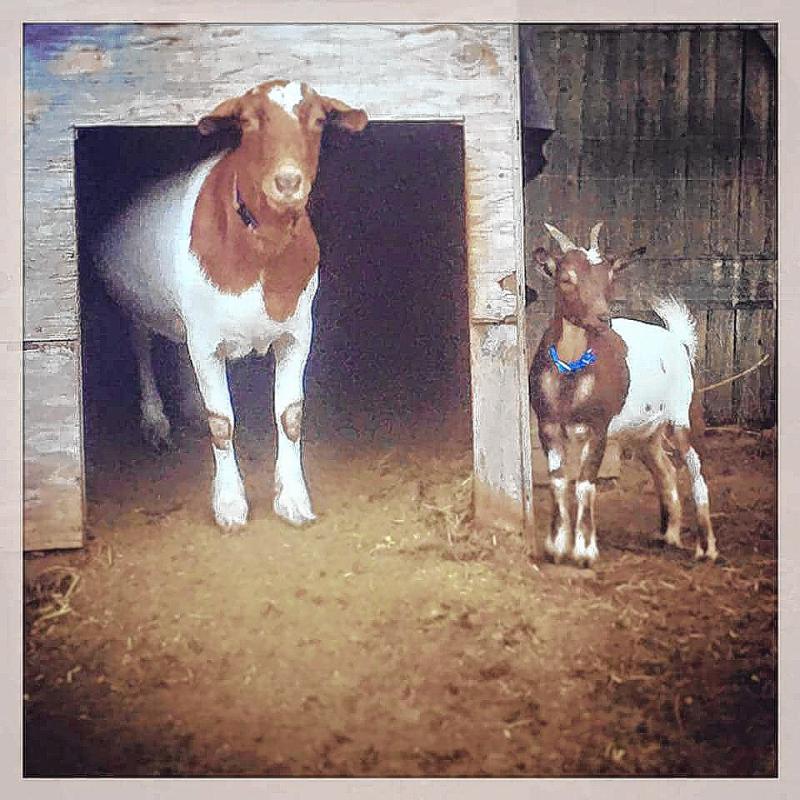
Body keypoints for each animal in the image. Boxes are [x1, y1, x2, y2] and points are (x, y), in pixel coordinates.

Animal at [97, 79, 368, 532]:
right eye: (247, 121)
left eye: (318, 121)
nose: (288, 181)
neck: (262, 247)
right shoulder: (206, 339)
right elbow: (221, 423)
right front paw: (229, 504)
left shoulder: (297, 332)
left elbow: (290, 417)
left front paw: (292, 498)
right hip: (135, 306)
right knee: (142, 350)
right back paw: (156, 422)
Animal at [532, 222, 720, 564]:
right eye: (566, 278)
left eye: (609, 278)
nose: (602, 318)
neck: (570, 374)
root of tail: (678, 341)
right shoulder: (548, 425)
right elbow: (559, 481)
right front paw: (556, 547)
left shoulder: (598, 427)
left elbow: (585, 483)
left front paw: (584, 551)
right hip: (645, 433)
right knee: (666, 471)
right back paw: (670, 534)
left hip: (684, 415)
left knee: (697, 473)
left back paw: (707, 548)